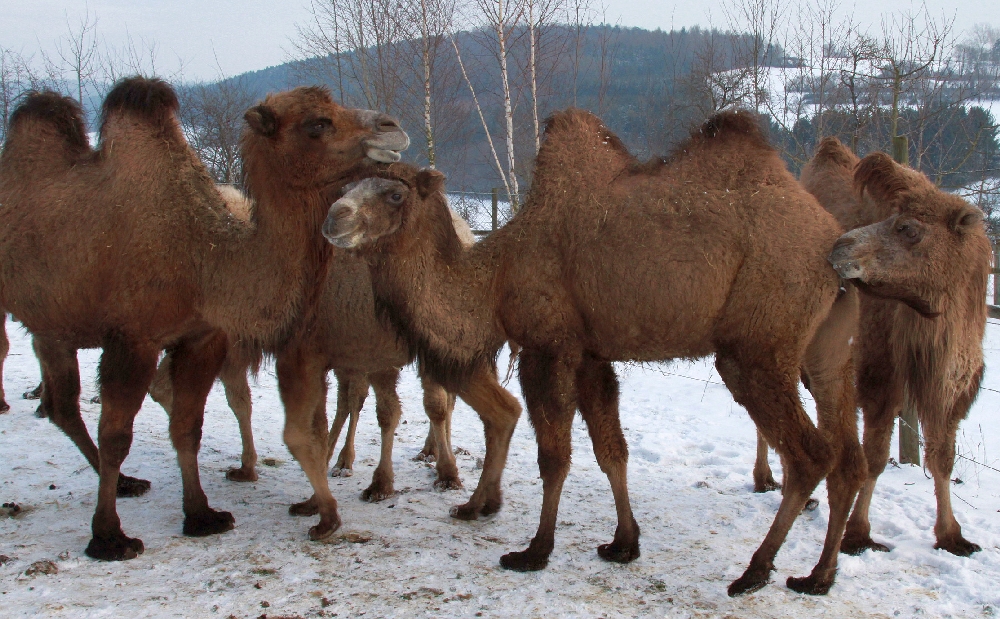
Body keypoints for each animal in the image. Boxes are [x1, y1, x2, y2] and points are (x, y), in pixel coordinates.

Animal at [0, 78, 410, 560]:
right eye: (317, 124)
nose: (393, 127)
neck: (200, 259)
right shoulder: (132, 339)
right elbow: (117, 434)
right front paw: (109, 537)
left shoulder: (201, 337)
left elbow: (187, 426)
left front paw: (201, 516)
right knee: (66, 405)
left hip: (53, 326)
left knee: (62, 405)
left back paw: (125, 482)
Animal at [326, 110, 868, 596]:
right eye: (345, 190)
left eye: (394, 193)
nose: (334, 219)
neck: (496, 276)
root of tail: (831, 245)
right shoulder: (591, 355)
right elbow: (612, 452)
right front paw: (623, 543)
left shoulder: (548, 347)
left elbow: (554, 456)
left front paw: (535, 550)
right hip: (826, 356)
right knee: (848, 456)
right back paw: (818, 577)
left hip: (757, 345)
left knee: (811, 454)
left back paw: (755, 571)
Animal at [812, 139, 992, 556]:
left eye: (907, 228)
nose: (839, 246)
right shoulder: (880, 374)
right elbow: (876, 456)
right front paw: (856, 533)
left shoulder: (950, 384)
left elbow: (942, 456)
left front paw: (952, 536)